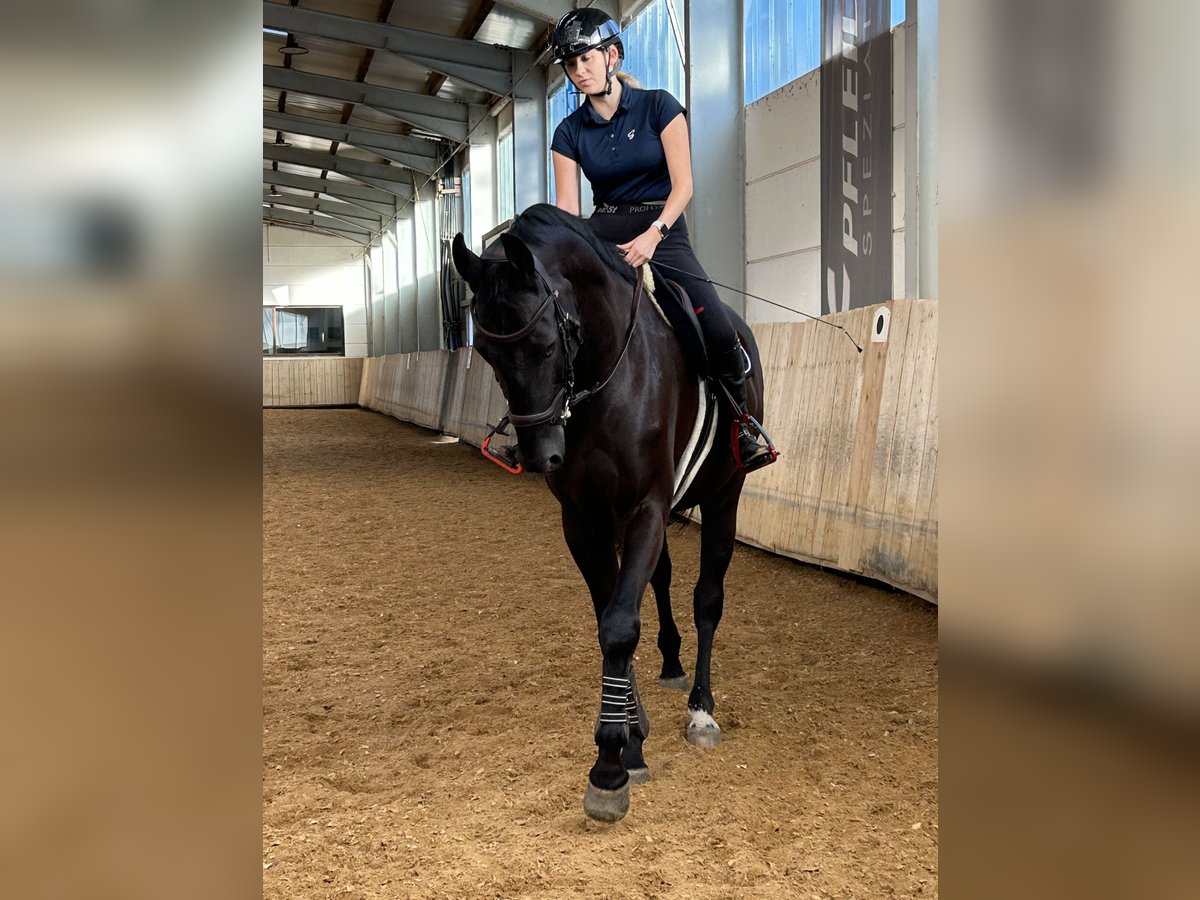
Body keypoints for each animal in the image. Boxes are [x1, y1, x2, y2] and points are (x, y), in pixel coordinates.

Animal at [452, 203, 767, 823]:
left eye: (547, 343)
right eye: (488, 354)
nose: (540, 454)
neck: (605, 383)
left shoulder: (646, 506)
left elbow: (620, 626)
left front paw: (609, 767)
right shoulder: (585, 520)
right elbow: (611, 616)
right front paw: (632, 738)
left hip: (725, 493)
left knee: (707, 599)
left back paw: (701, 708)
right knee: (662, 581)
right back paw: (670, 666)